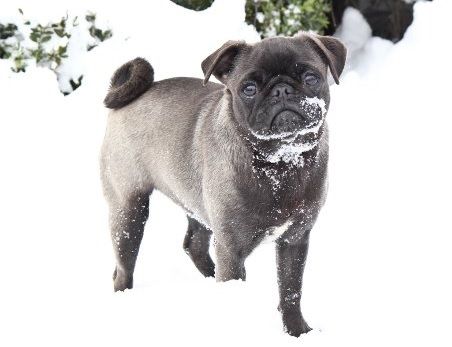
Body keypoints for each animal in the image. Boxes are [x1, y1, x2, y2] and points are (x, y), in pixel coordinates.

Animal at [100, 32, 346, 338]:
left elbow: (291, 291)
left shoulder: (294, 240)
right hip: (129, 212)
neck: (279, 163)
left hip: (196, 205)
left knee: (194, 244)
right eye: (248, 89)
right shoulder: (232, 250)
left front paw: (298, 331)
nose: (282, 91)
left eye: (311, 78)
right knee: (123, 270)